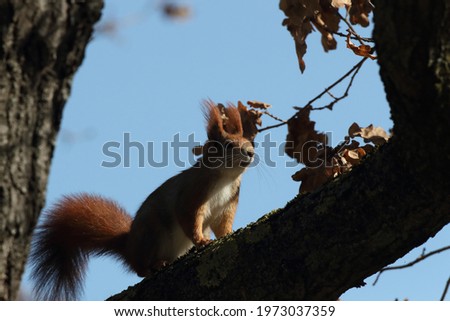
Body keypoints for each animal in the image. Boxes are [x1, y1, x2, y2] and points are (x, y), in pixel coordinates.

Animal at [29, 100, 256, 300]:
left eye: (251, 142)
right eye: (228, 145)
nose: (251, 153)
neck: (225, 178)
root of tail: (129, 248)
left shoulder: (229, 204)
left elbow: (222, 224)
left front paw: (227, 234)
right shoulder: (191, 194)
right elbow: (188, 217)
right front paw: (201, 240)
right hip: (151, 234)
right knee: (139, 269)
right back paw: (154, 265)